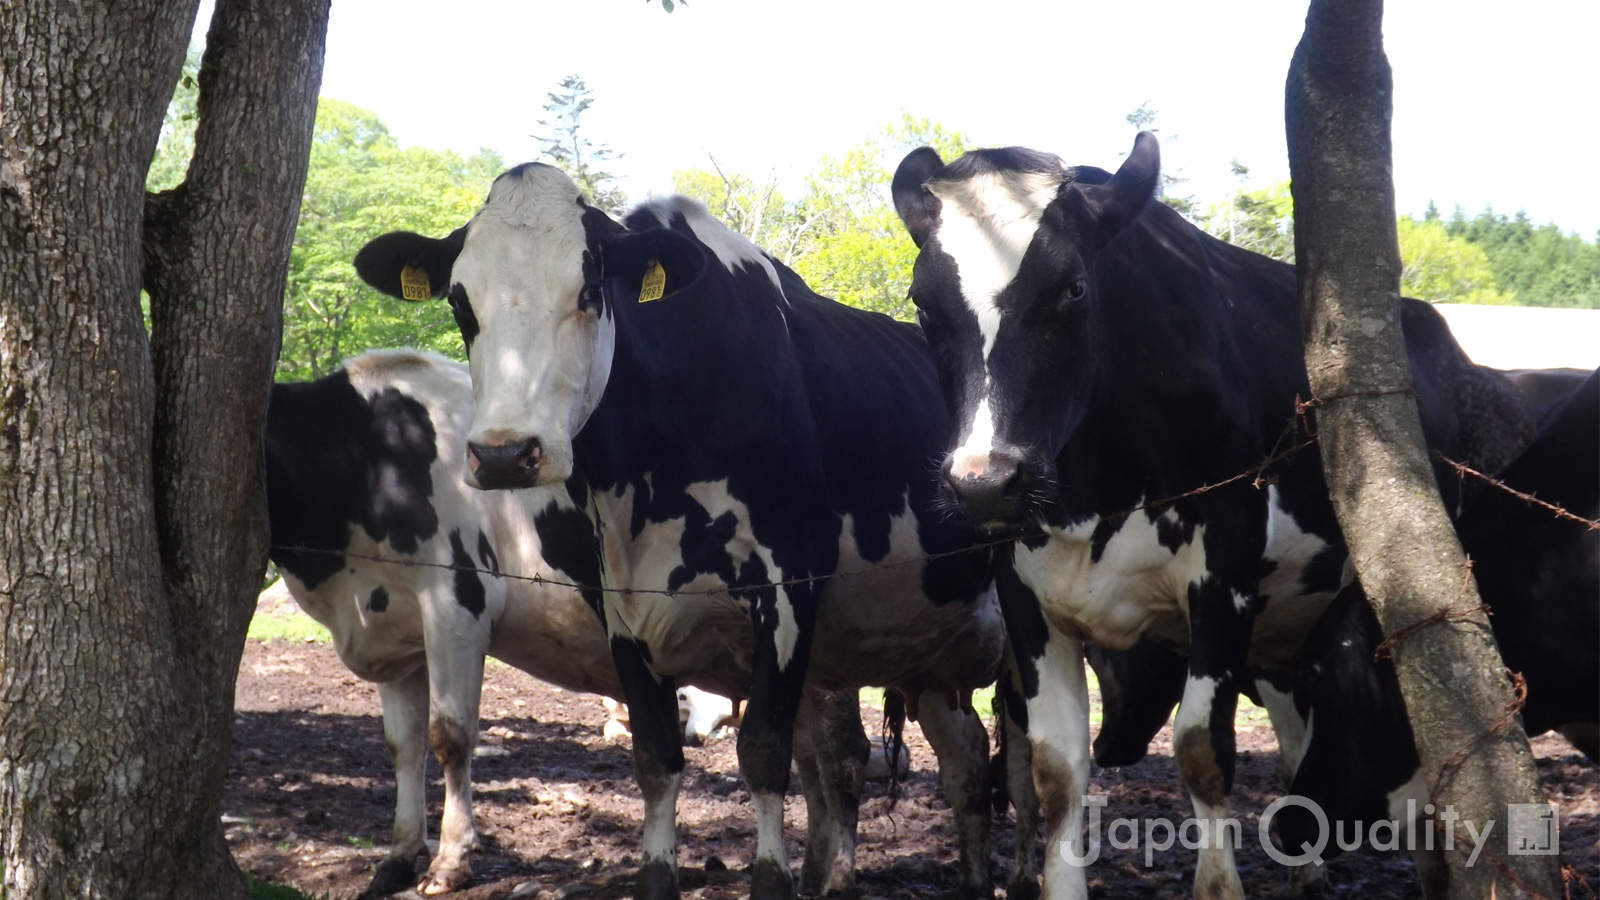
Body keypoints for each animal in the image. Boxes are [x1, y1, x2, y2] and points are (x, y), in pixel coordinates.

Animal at [260, 347, 870, 890]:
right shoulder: (391, 629)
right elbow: (403, 745)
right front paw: (397, 859)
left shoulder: (457, 601)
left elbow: (450, 735)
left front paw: (450, 862)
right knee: (810, 755)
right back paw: (813, 869)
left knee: (843, 755)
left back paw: (837, 877)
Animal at [353, 168, 1011, 896]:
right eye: (461, 302)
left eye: (589, 289)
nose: (503, 453)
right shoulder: (622, 608)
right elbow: (655, 758)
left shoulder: (788, 590)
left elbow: (763, 753)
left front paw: (772, 877)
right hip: (934, 651)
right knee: (966, 757)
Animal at [896, 132, 1529, 896]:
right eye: (922, 302)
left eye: (1073, 288)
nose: (986, 482)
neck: (1094, 494)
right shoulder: (1024, 592)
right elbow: (1055, 769)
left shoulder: (1225, 572)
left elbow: (1201, 748)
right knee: (1295, 743)